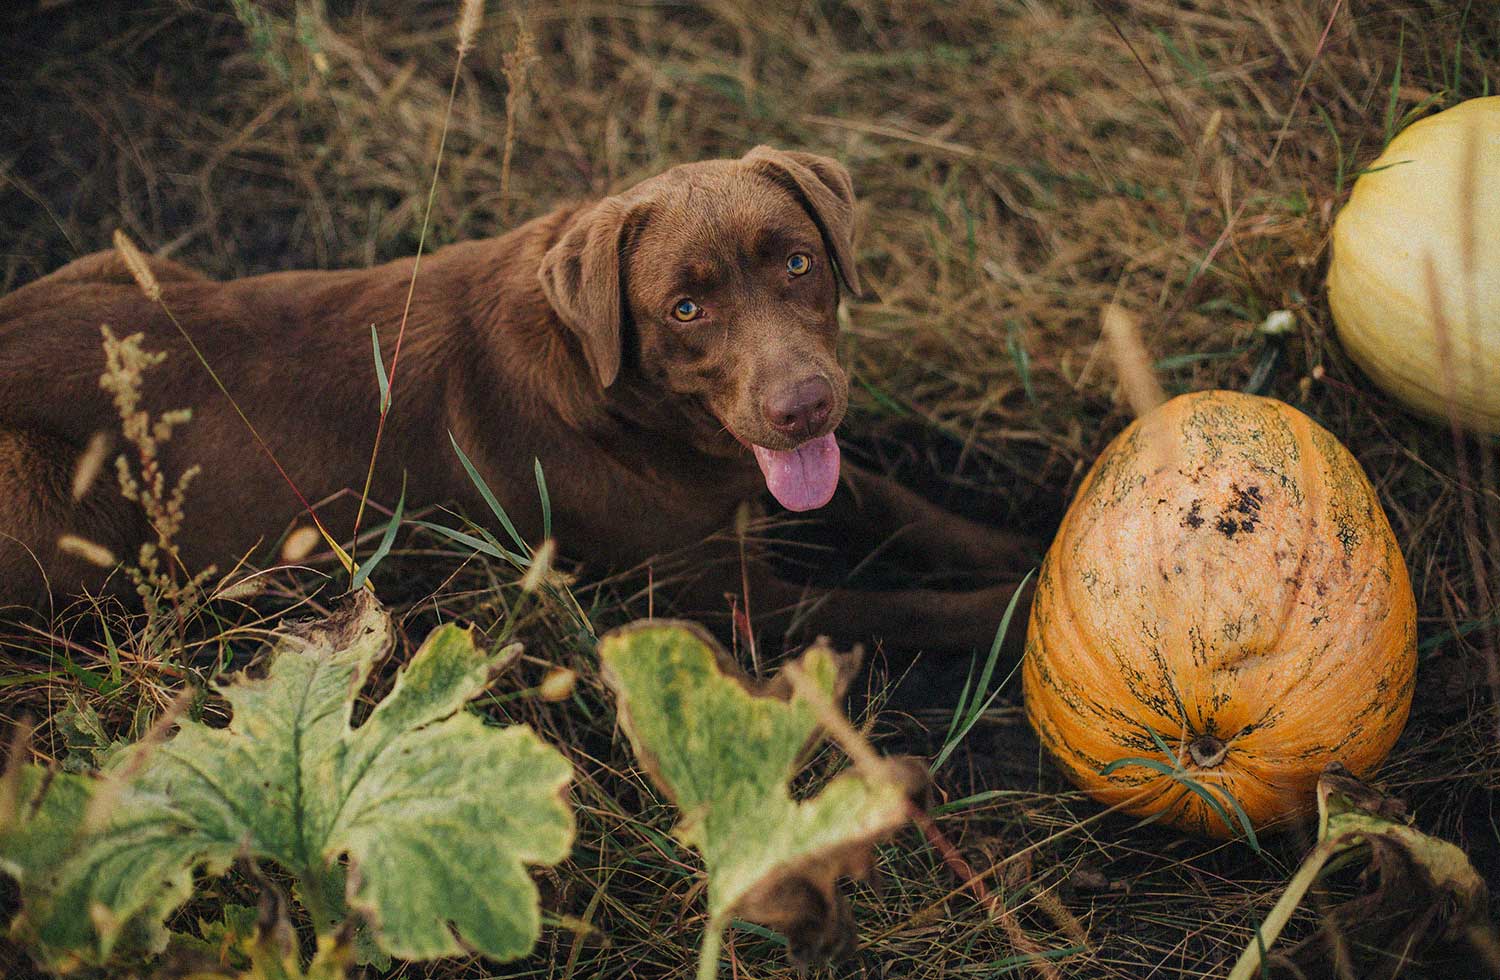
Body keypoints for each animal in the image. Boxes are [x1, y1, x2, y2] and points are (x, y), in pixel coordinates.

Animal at [0, 145, 1032, 648]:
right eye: (685, 308)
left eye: (798, 262)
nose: (804, 407)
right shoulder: (722, 595)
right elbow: (884, 609)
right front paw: (1014, 612)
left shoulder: (777, 471)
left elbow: (901, 506)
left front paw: (1019, 541)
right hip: (51, 506)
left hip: (124, 266)